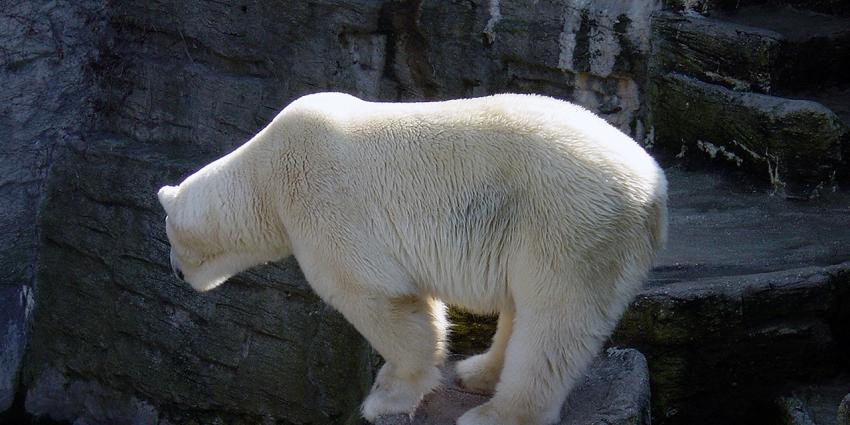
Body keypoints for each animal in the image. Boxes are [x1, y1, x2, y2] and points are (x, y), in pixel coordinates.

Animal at [156, 93, 664, 424]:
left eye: (170, 240)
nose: (175, 273)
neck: (265, 173)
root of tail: (654, 190)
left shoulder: (323, 206)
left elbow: (379, 300)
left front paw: (387, 394)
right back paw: (478, 372)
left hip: (568, 226)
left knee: (553, 323)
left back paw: (494, 414)